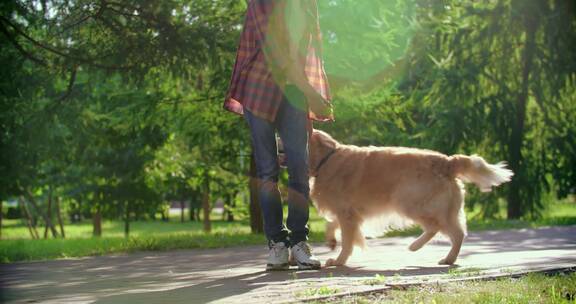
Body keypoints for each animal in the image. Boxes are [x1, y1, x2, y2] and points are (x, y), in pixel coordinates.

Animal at [308, 130, 516, 266]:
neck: (327, 158)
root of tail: (447, 161)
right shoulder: (349, 212)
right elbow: (334, 225)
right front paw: (331, 241)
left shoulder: (347, 213)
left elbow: (347, 240)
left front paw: (339, 260)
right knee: (448, 230)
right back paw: (421, 248)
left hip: (410, 203)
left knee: (448, 231)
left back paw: (437, 254)